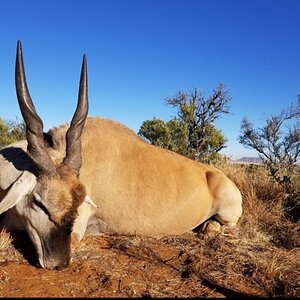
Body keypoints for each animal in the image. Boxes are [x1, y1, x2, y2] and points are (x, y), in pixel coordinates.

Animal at [0, 39, 243, 270]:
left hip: (228, 213)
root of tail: (217, 175)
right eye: (38, 202)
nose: (58, 263)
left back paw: (208, 227)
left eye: (75, 207)